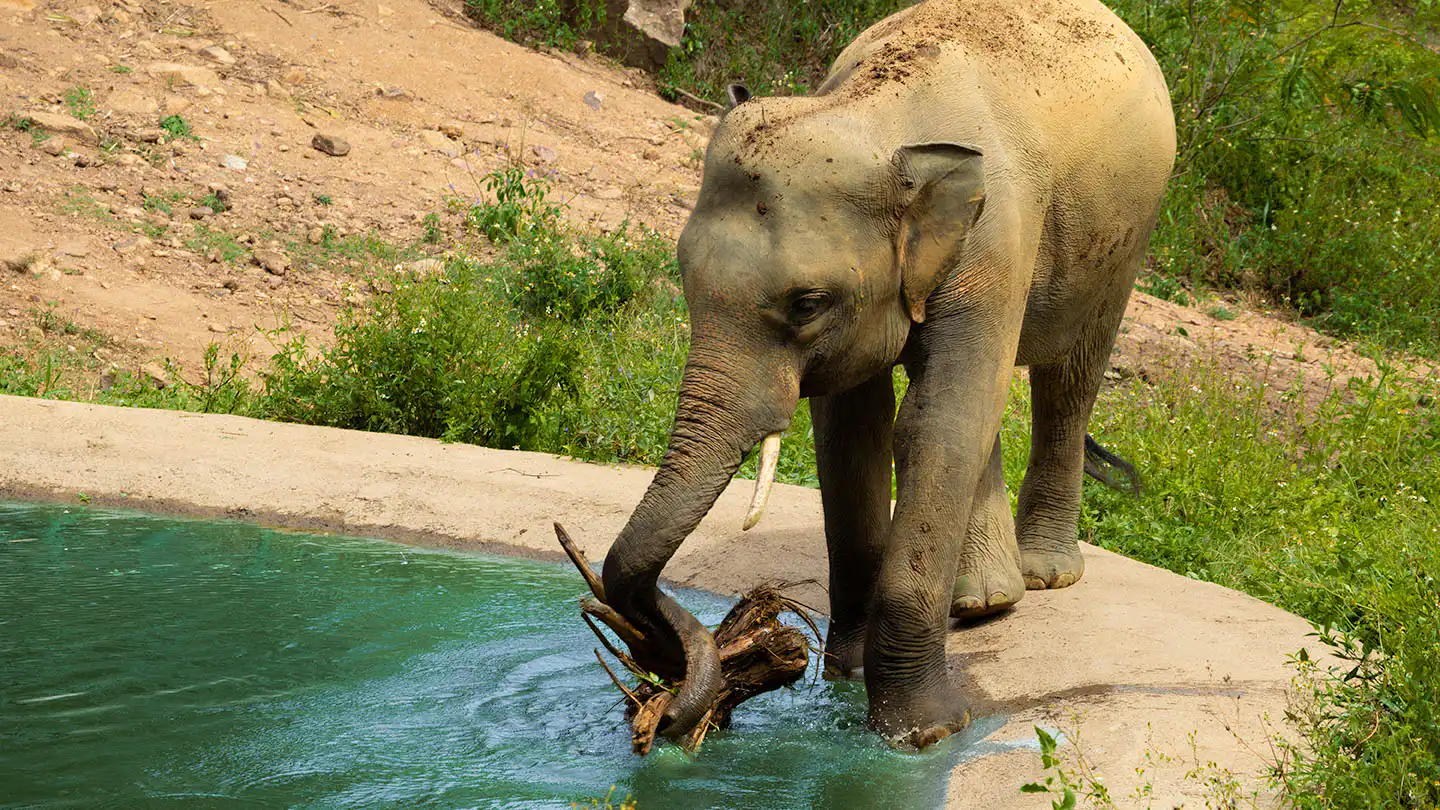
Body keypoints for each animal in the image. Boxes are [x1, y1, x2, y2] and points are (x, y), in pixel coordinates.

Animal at [599, 0, 1177, 748]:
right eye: (684, 276)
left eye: (806, 303)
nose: (667, 706)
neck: (876, 116)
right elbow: (853, 433)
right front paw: (841, 674)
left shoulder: (995, 240)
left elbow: (935, 427)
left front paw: (922, 732)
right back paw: (983, 600)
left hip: (1127, 236)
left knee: (1068, 379)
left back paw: (1044, 577)